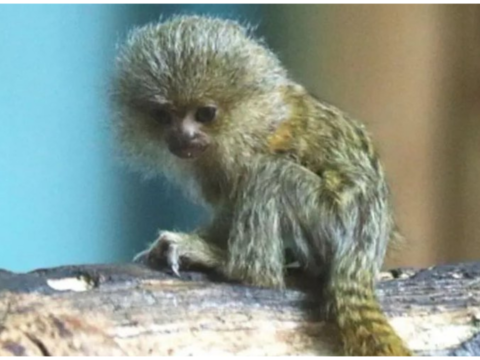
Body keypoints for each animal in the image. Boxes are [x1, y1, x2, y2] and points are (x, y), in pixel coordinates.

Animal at [110, 14, 410, 358]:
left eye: (205, 114)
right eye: (163, 115)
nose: (183, 136)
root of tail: (362, 256)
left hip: (332, 219)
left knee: (269, 177)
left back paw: (236, 265)